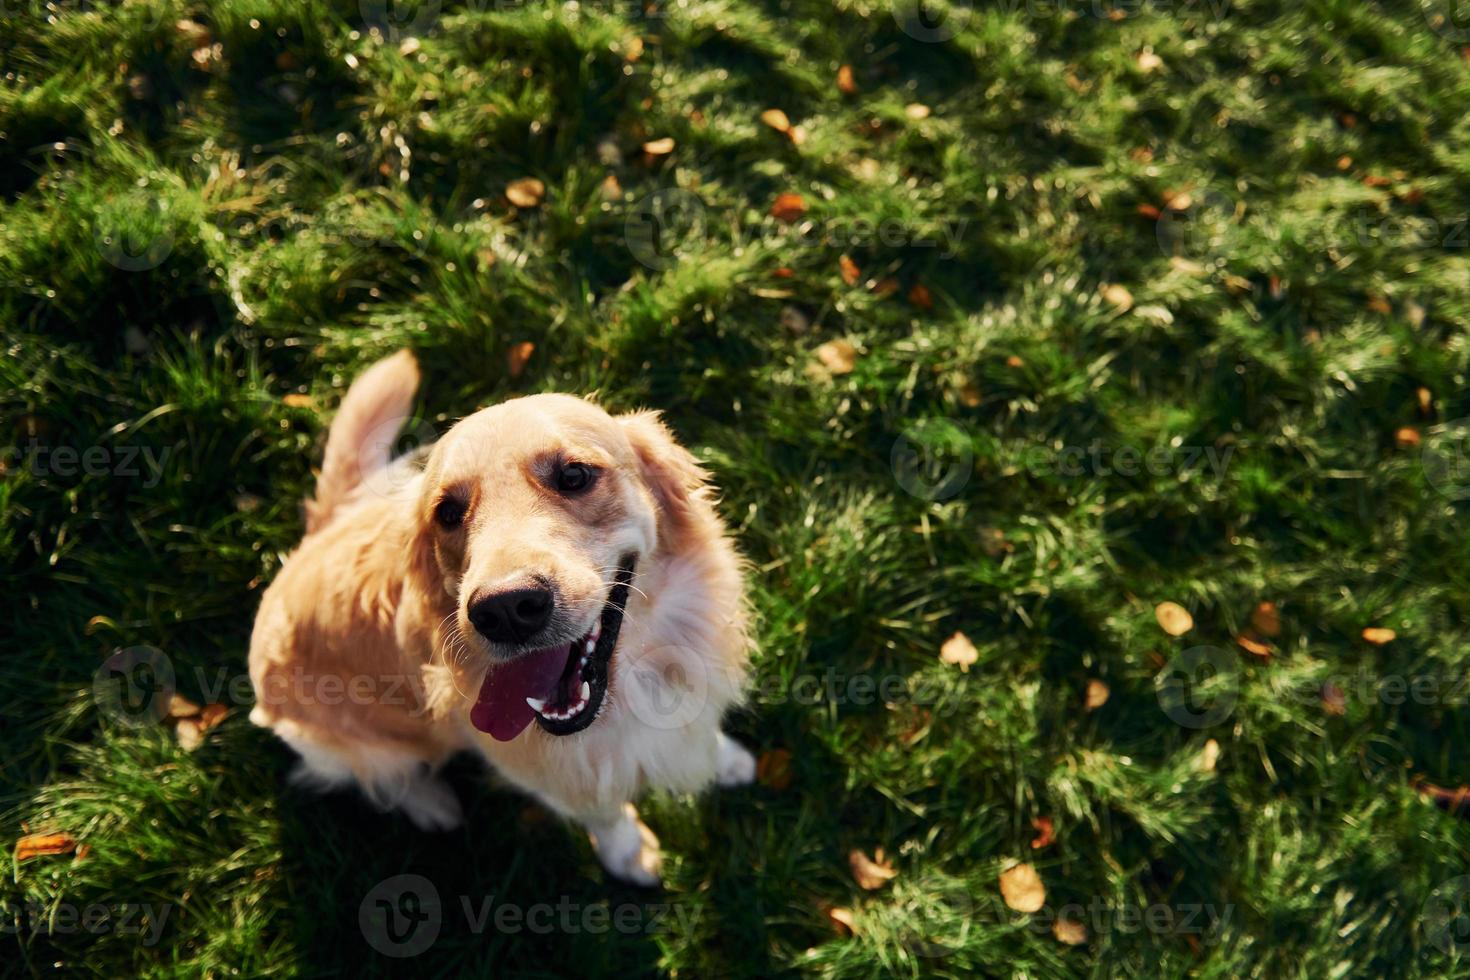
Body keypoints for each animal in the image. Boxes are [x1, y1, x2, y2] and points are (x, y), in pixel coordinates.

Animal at [246, 351, 752, 881]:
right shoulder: (547, 772)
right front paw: (629, 854)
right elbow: (604, 813)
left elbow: (702, 731)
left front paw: (727, 760)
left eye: (574, 476)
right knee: (383, 777)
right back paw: (432, 803)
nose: (506, 609)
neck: (636, 674)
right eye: (448, 513)